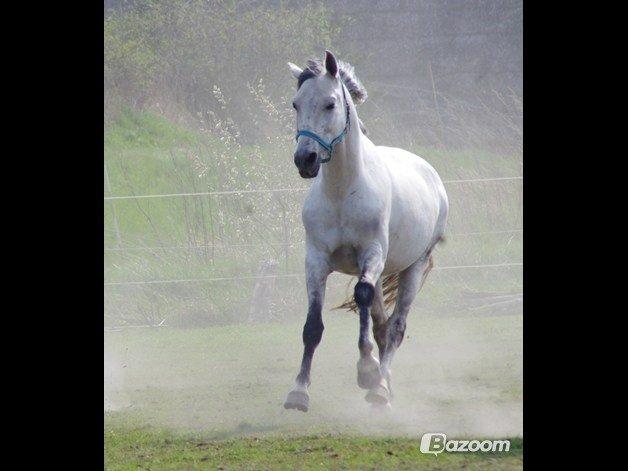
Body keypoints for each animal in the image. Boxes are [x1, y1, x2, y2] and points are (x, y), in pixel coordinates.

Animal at [282, 52, 448, 412]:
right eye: (295, 104)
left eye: (330, 103)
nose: (305, 159)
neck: (343, 191)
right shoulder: (316, 260)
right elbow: (312, 326)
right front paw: (298, 391)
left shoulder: (371, 255)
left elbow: (361, 297)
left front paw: (367, 370)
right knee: (382, 325)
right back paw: (386, 386)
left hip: (411, 267)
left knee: (395, 327)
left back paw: (379, 387)